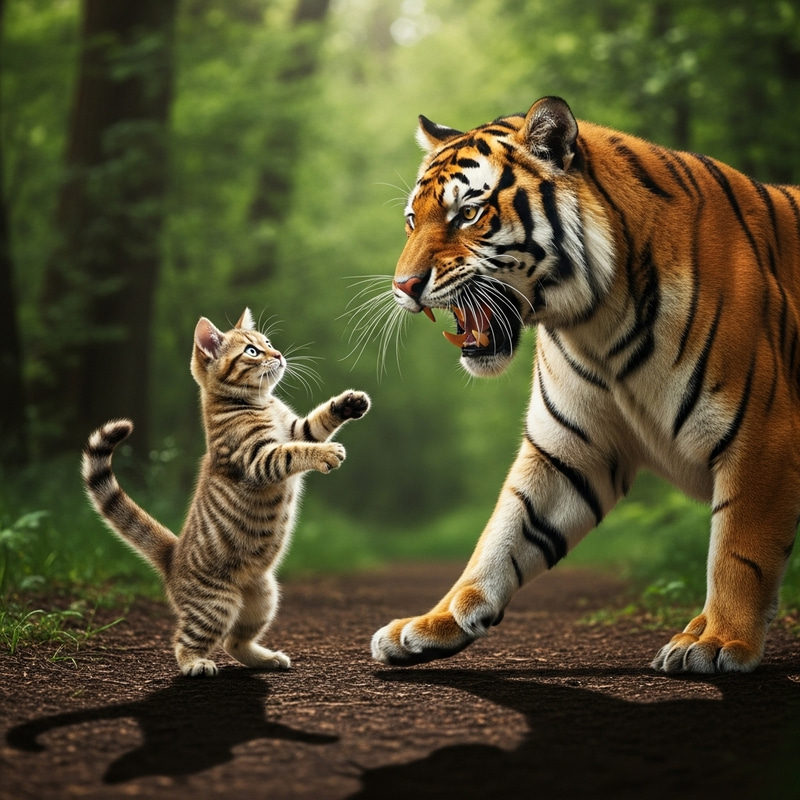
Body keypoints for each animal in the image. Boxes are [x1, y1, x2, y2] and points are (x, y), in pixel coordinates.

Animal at [370, 95, 800, 674]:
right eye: (413, 220)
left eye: (468, 214)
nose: (404, 287)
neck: (597, 321)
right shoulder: (568, 449)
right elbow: (503, 536)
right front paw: (431, 625)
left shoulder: (761, 438)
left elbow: (737, 552)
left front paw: (719, 643)